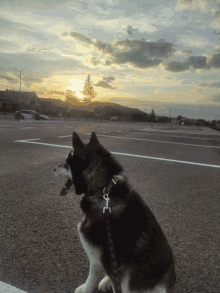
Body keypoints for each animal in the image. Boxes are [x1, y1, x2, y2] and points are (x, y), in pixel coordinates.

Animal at [54, 132, 176, 292]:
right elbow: (96, 274)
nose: (54, 168)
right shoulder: (100, 259)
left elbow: (94, 276)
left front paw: (86, 288)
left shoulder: (101, 258)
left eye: (66, 163)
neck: (103, 190)